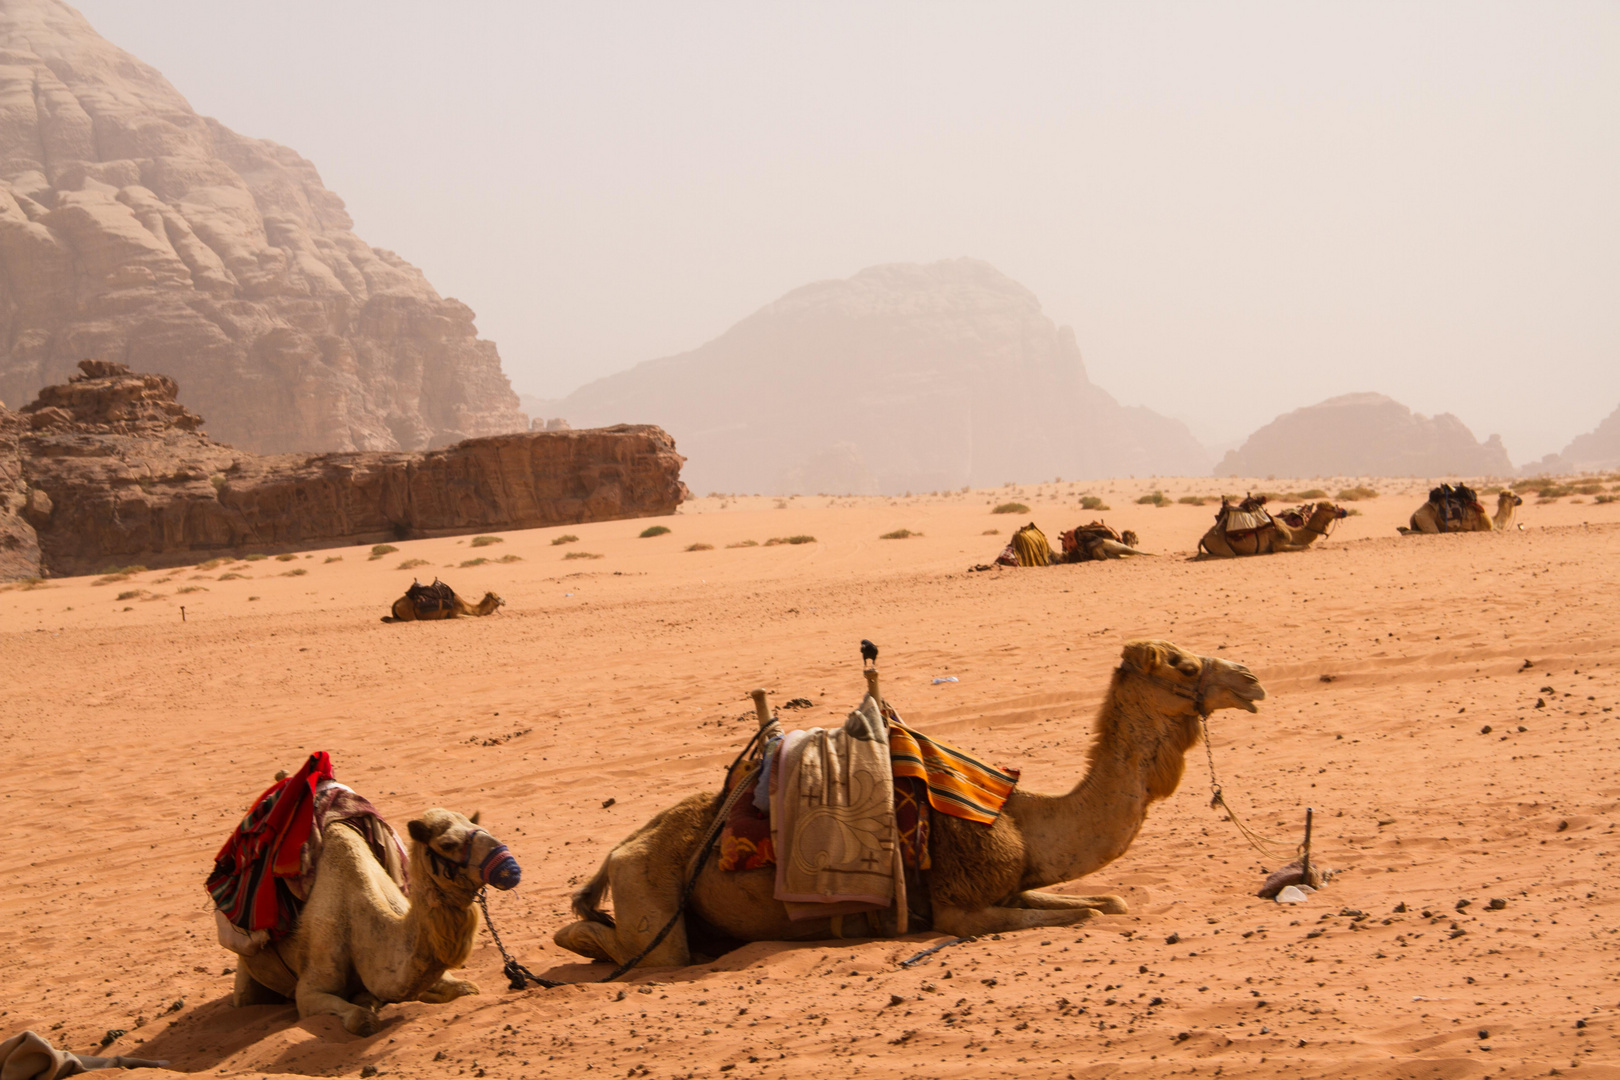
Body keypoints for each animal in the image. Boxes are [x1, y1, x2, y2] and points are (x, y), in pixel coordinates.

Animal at [554, 641, 1263, 971]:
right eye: (1184, 664)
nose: (1252, 680)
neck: (1021, 820)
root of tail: (617, 850)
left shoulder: (1012, 882)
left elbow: (1106, 902)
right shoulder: (959, 908)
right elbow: (1083, 914)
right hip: (650, 892)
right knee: (622, 944)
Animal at [1198, 501, 1347, 563]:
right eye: (1332, 508)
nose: (1344, 511)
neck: (1293, 532)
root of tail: (1204, 537)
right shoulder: (1278, 544)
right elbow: (1307, 546)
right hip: (1222, 546)